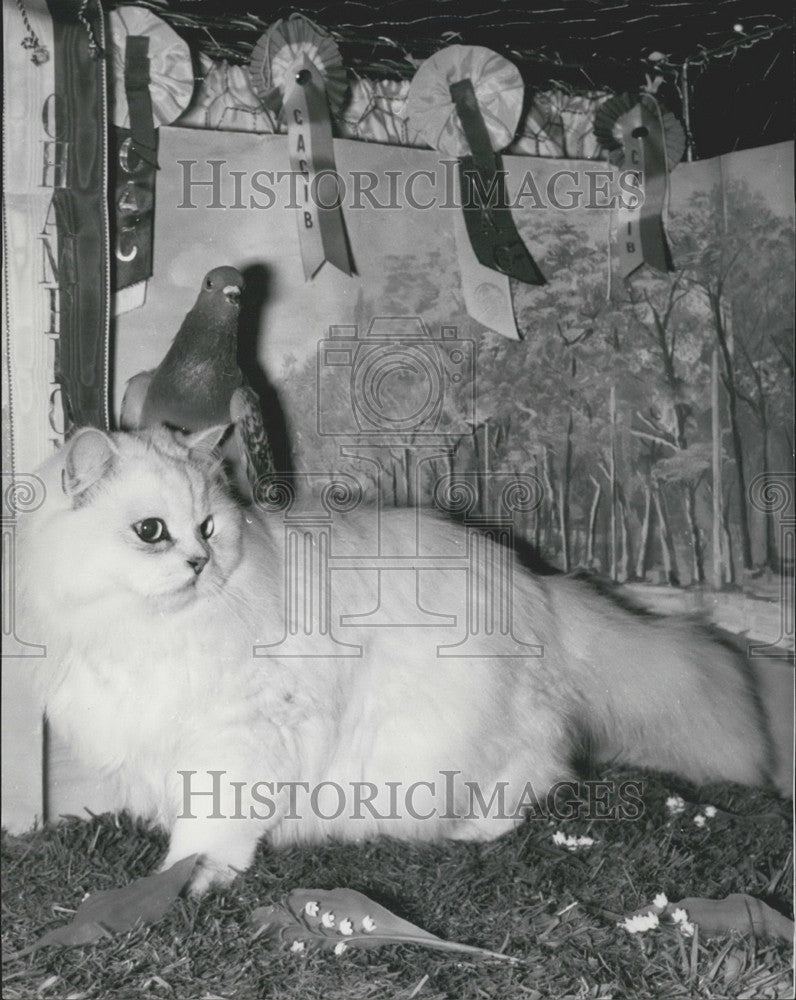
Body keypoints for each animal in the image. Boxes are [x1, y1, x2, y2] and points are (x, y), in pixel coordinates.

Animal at [15, 426, 792, 896]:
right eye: (152, 531)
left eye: (207, 527)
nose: (201, 563)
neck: (141, 631)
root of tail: (538, 584)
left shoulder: (239, 736)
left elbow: (211, 824)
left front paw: (191, 877)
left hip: (460, 742)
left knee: (533, 782)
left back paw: (466, 833)